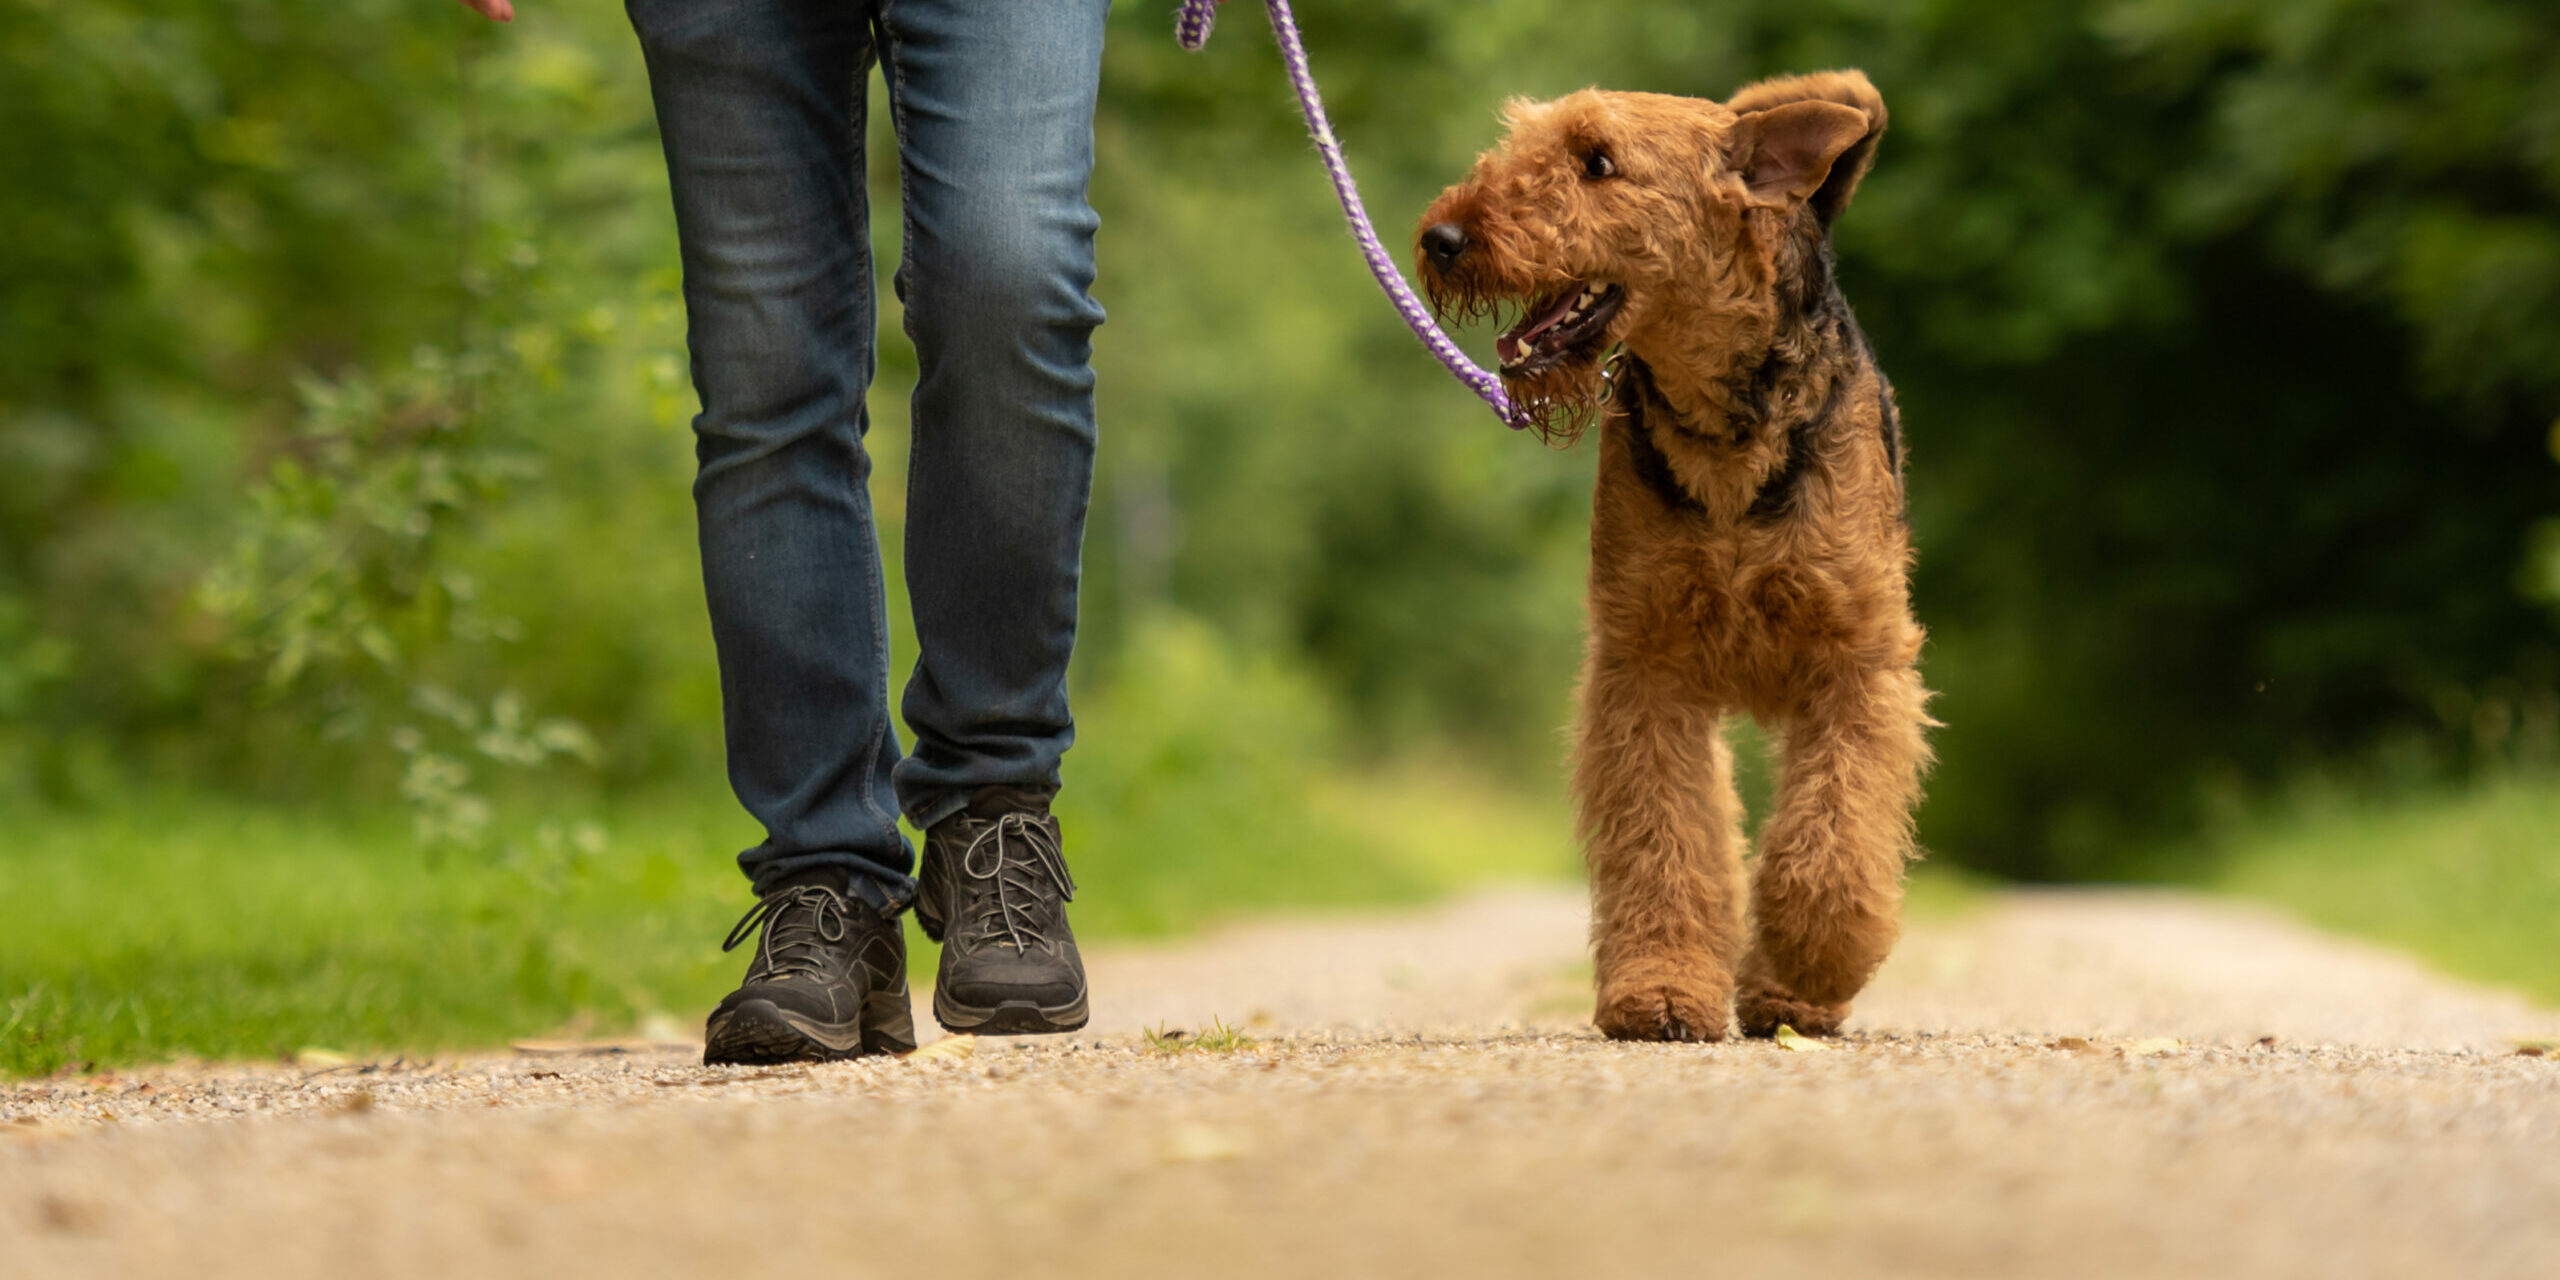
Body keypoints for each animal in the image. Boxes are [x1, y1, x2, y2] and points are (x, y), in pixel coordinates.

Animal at [1413, 72, 1925, 1039]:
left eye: (1597, 161)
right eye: (1520, 143)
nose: (1441, 238)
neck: (1723, 431)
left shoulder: (1857, 659)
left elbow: (1831, 843)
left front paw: (1807, 957)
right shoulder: (1645, 664)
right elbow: (1663, 842)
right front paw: (1658, 991)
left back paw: (1788, 991)